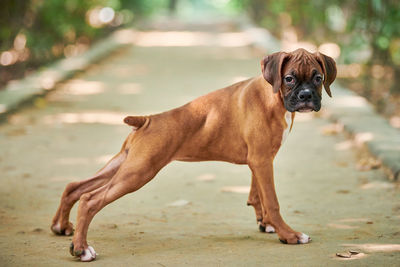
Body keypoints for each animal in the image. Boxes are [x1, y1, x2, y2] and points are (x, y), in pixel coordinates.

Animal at [51, 47, 336, 262]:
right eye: (289, 78)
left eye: (318, 78)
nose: (306, 96)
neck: (273, 96)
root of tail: (147, 120)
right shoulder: (263, 160)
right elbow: (273, 202)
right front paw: (288, 235)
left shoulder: (259, 161)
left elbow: (258, 195)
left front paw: (265, 223)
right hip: (138, 172)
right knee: (90, 199)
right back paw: (81, 249)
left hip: (124, 164)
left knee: (75, 186)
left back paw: (61, 227)